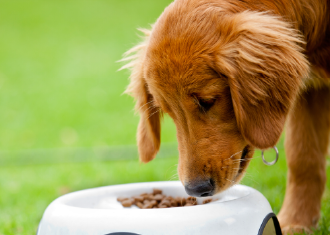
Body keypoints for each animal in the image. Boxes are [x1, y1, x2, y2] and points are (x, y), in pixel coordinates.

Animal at [122, 0, 330, 234]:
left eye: (207, 101)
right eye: (167, 111)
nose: (196, 189)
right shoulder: (310, 93)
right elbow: (303, 157)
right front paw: (296, 223)